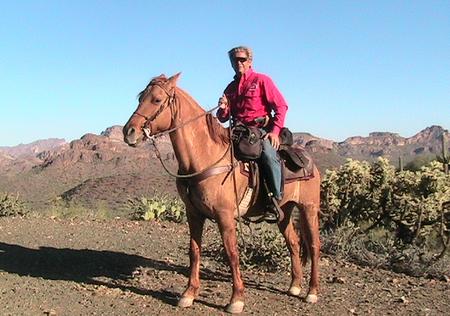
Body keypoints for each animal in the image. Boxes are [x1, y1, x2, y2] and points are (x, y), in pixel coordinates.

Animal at [122, 73, 320, 314]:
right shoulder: (193, 214)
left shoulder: (225, 216)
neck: (204, 157)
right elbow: (194, 251)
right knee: (293, 242)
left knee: (314, 246)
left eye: (157, 99)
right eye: (141, 97)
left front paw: (236, 299)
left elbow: (232, 253)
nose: (128, 132)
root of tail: (309, 159)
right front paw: (189, 294)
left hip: (309, 208)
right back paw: (295, 286)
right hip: (284, 211)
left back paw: (312, 292)